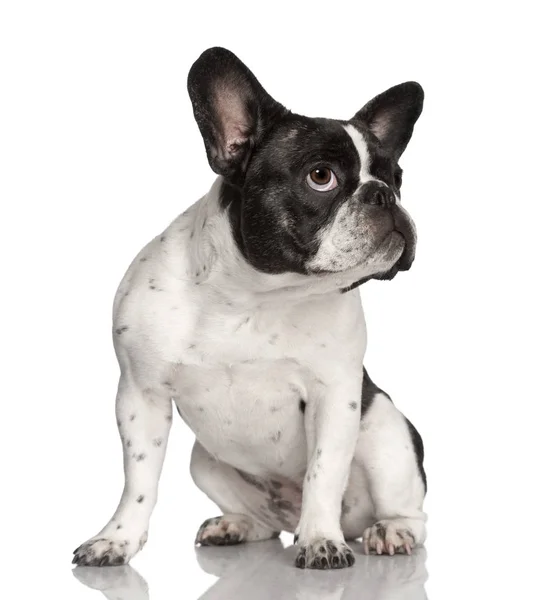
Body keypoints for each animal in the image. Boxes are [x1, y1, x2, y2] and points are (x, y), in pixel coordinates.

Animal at [72, 44, 426, 568]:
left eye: (396, 178)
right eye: (321, 176)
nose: (383, 194)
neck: (252, 294)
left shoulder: (334, 396)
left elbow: (324, 472)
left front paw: (321, 541)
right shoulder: (141, 394)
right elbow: (138, 480)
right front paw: (116, 539)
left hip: (387, 435)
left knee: (409, 513)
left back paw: (388, 532)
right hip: (205, 462)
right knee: (263, 523)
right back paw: (236, 525)